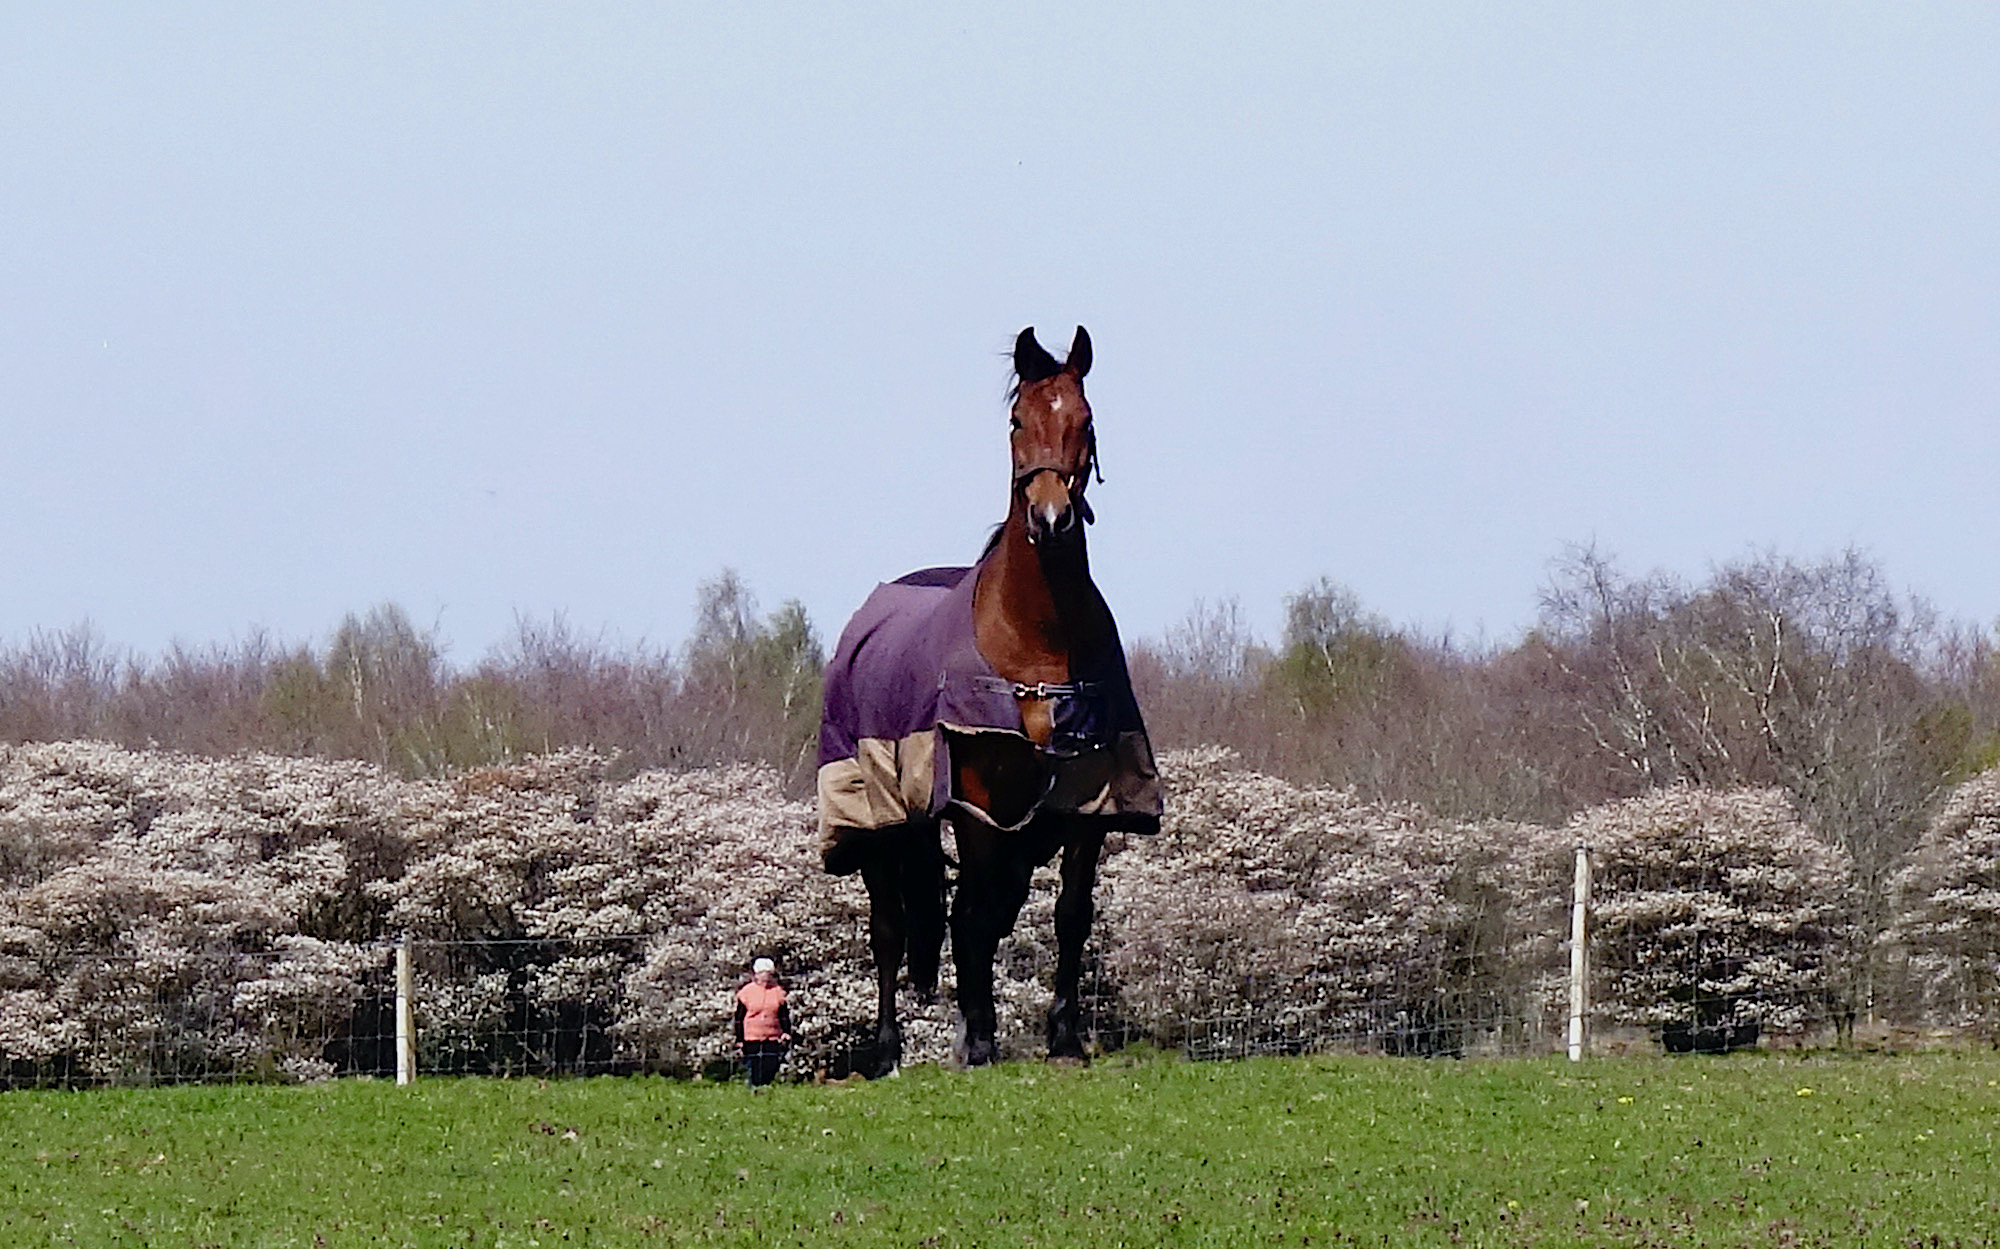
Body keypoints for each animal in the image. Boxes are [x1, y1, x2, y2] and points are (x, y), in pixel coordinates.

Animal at [816, 326, 1162, 1073]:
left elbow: (1068, 915)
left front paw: (1063, 1036)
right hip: (878, 820)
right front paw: (977, 1038)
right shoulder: (977, 802)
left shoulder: (1085, 802)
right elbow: (969, 917)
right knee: (892, 928)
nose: (1052, 518)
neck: (1037, 641)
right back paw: (887, 1049)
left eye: (1085, 421)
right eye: (1016, 421)